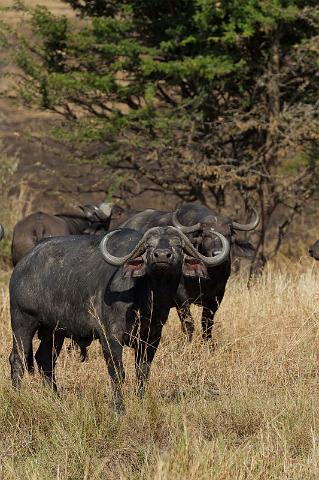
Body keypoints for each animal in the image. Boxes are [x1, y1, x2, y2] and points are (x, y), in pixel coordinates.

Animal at [8, 227, 229, 410]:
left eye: (178, 245)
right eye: (149, 245)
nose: (162, 256)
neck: (146, 299)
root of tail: (23, 265)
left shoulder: (151, 338)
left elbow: (142, 371)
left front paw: (140, 401)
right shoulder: (110, 338)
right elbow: (118, 373)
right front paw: (119, 408)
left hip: (54, 331)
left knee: (45, 360)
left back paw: (56, 399)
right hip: (22, 321)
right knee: (18, 358)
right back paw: (17, 396)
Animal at [121, 202, 258, 342]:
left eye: (228, 234)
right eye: (205, 235)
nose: (218, 253)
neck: (208, 277)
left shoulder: (217, 296)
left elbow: (207, 323)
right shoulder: (181, 297)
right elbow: (188, 323)